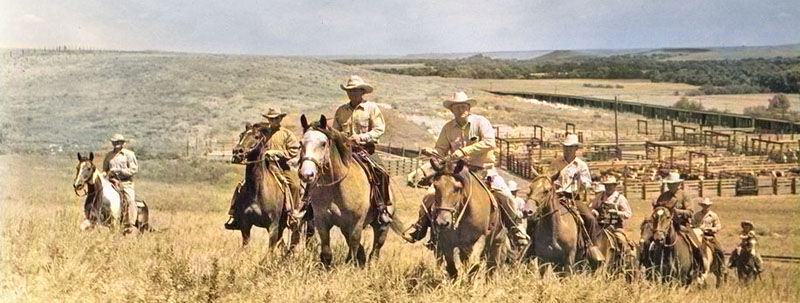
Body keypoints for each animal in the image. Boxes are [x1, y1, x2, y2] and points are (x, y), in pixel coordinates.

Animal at [230, 122, 302, 251]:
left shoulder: (273, 226)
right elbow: (246, 247)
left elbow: (270, 251)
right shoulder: (245, 225)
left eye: (256, 136)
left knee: (293, 240)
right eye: (241, 135)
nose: (237, 152)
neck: (256, 192)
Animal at [296, 114, 400, 268]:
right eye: (301, 143)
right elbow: (327, 252)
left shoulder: (356, 222)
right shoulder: (322, 221)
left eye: (323, 143)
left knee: (375, 250)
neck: (337, 187)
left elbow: (354, 246)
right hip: (345, 227)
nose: (307, 174)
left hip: (381, 226)